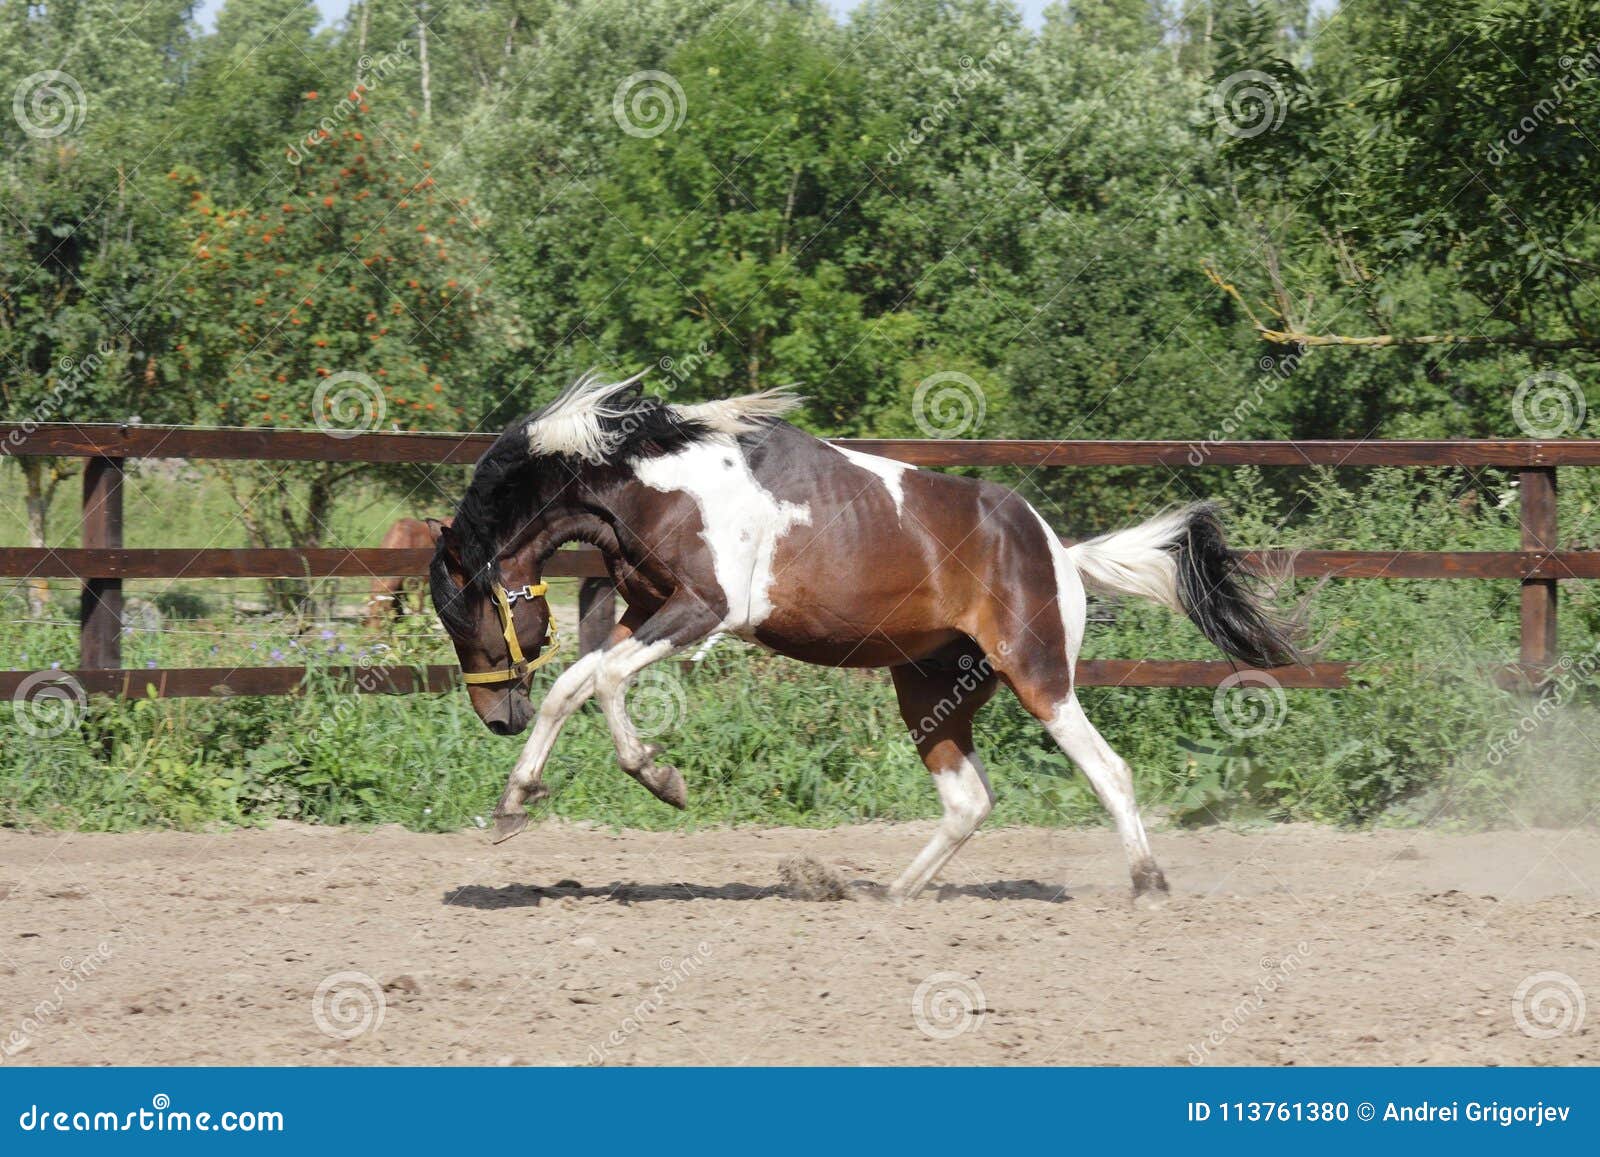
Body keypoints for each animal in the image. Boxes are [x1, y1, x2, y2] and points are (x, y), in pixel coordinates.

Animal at [428, 374, 1300, 902]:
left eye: (468, 612)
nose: (494, 716)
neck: (656, 478)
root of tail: (1060, 550)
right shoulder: (649, 614)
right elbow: (575, 685)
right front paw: (515, 803)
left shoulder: (706, 609)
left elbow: (601, 683)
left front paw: (660, 778)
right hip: (930, 688)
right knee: (968, 800)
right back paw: (889, 893)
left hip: (1038, 676)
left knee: (1108, 769)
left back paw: (1148, 883)